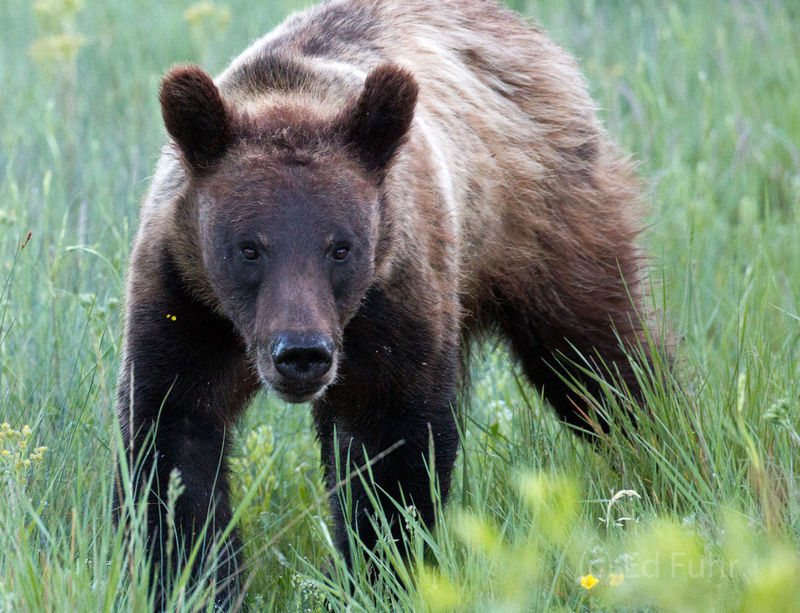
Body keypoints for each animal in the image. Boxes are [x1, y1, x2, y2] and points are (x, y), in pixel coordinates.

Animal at [116, 0, 667, 606]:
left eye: (340, 246)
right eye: (249, 248)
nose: (301, 353)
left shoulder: (393, 296)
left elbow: (392, 445)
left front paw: (382, 573)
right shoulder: (185, 299)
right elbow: (173, 443)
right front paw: (190, 582)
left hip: (543, 224)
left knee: (598, 358)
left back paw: (660, 449)